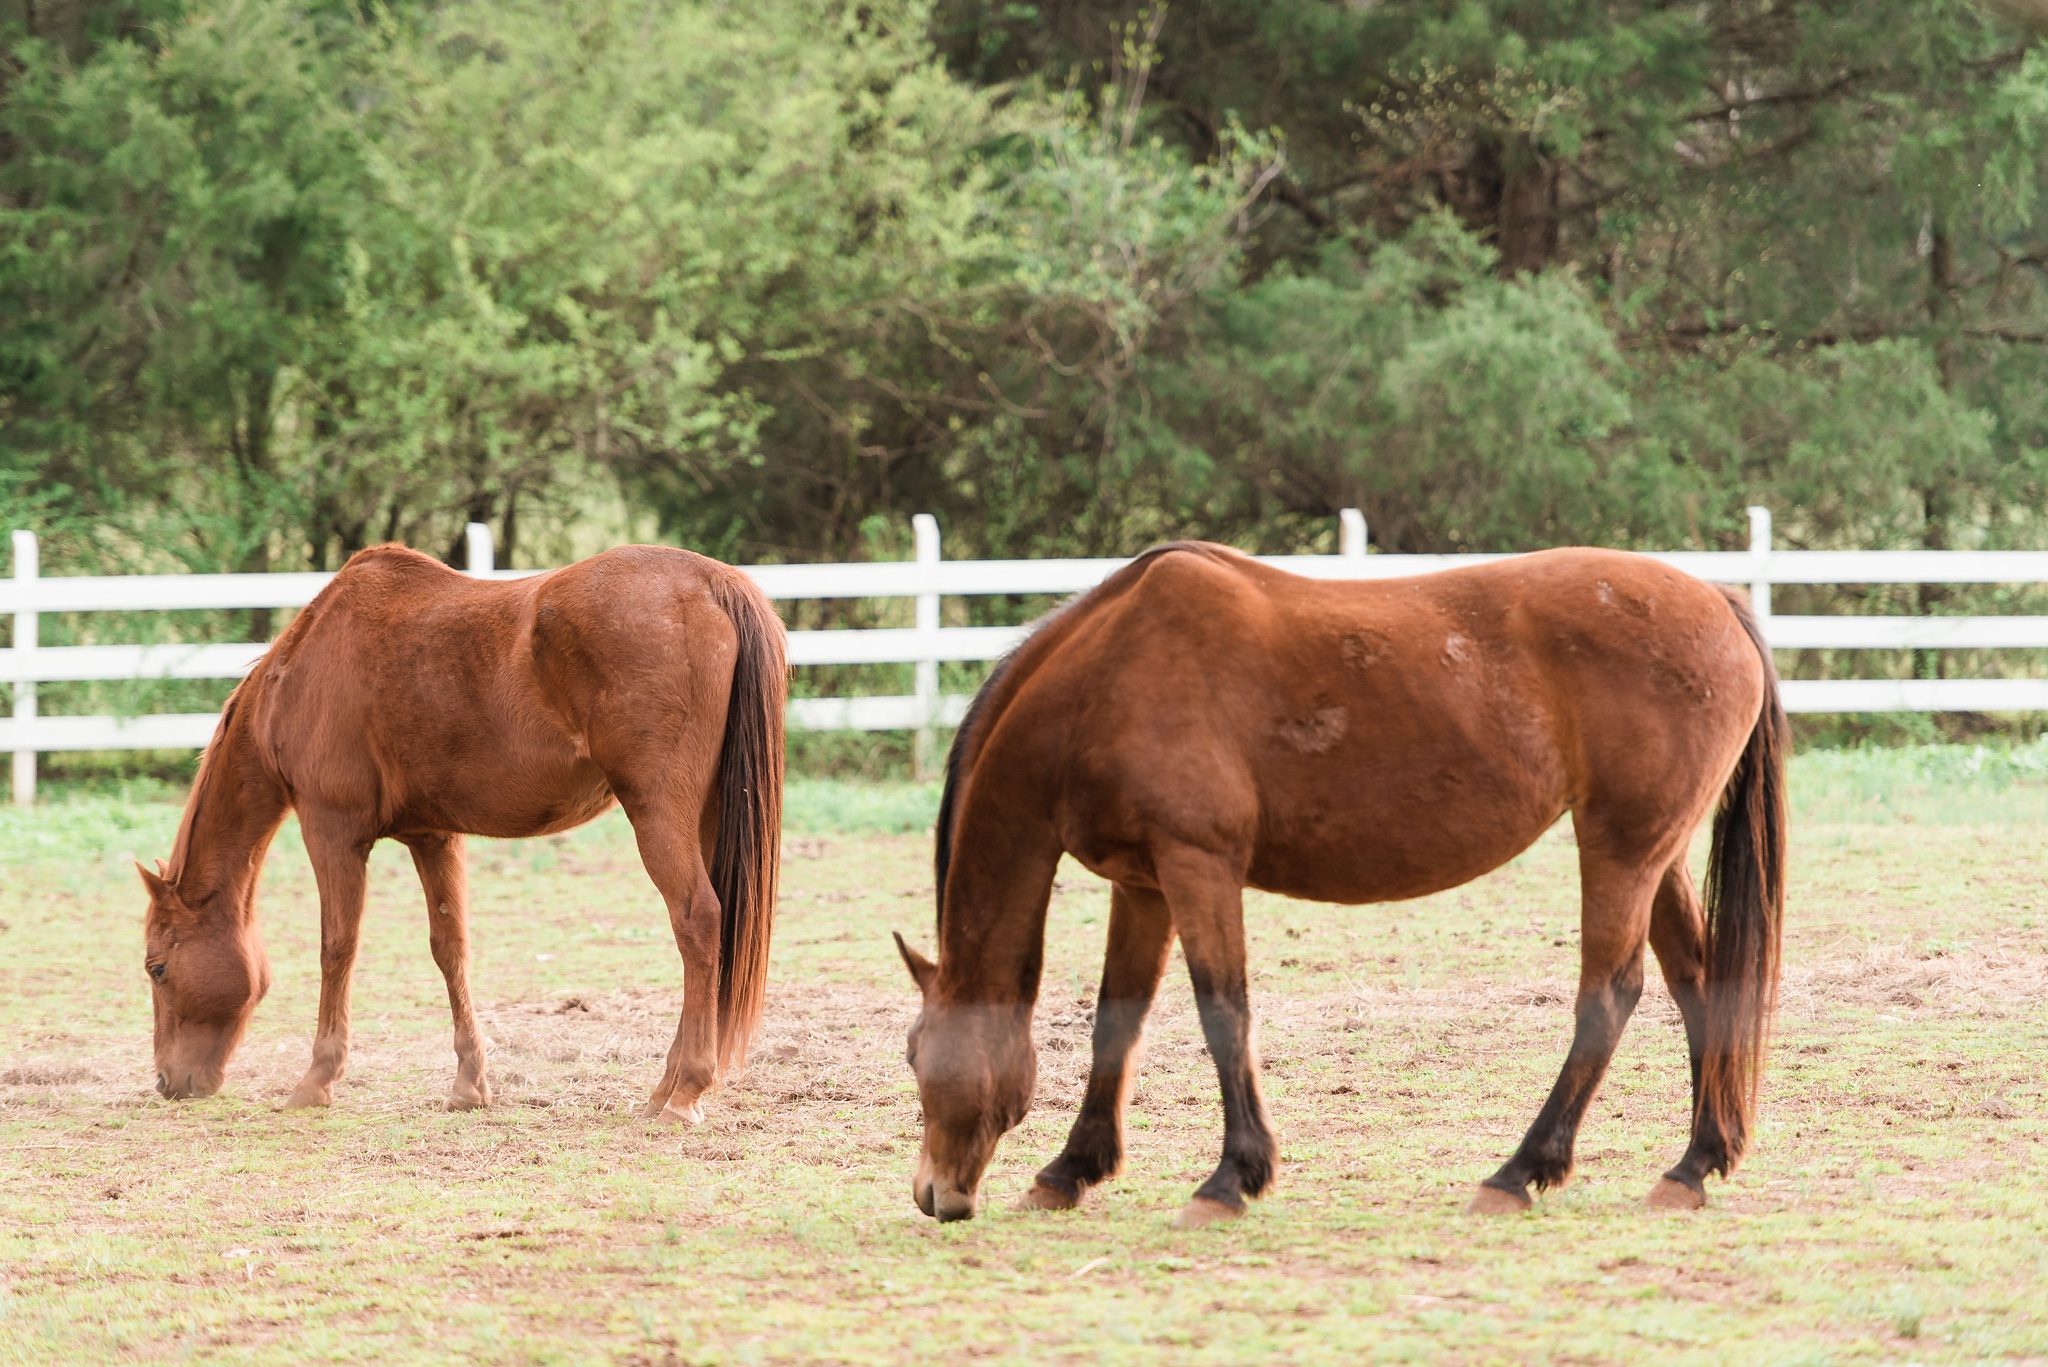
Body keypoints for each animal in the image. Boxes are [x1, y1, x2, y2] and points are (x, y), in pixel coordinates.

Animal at [138, 541, 782, 1114]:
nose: (169, 1082)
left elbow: (336, 948)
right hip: (707, 816)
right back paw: (663, 1090)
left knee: (697, 921)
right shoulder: (432, 836)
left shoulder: (332, 832)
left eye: (157, 968)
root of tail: (712, 581)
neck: (302, 667)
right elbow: (450, 949)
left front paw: (316, 1081)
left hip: (658, 812)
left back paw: (685, 1093)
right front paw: (470, 1085)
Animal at [892, 541, 1777, 1229]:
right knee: (1700, 981)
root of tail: (1717, 601)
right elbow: (1119, 1019)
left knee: (1609, 993)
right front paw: (1069, 1171)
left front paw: (1230, 1178)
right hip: (1651, 855)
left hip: (1622, 850)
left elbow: (1223, 1010)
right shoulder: (1143, 886)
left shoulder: (1198, 865)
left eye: (912, 1052)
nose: (936, 1194)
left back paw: (1519, 1172)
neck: (1103, 678)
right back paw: (1693, 1164)